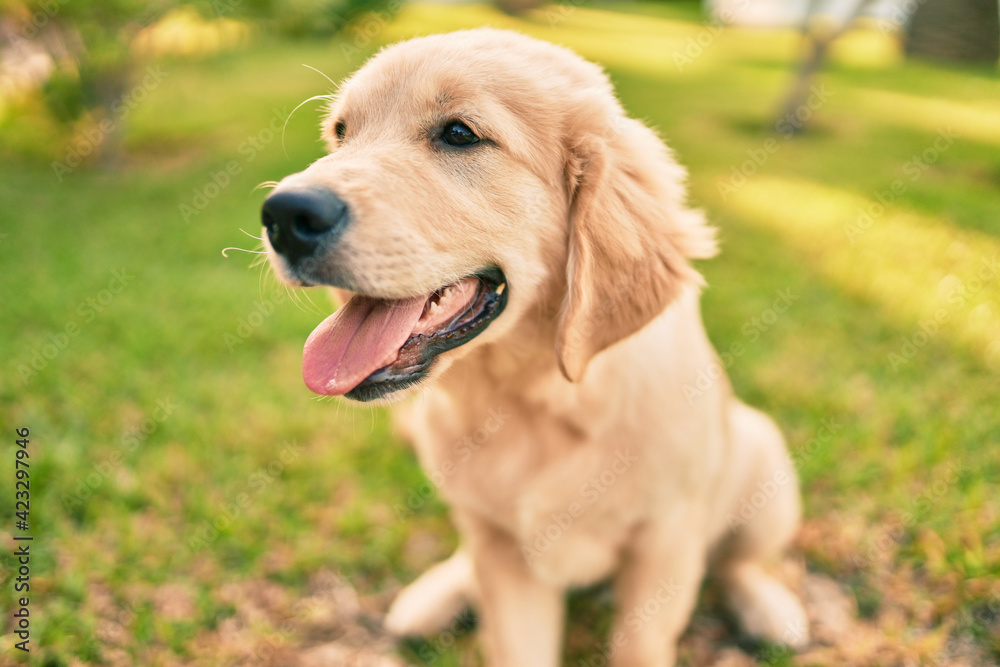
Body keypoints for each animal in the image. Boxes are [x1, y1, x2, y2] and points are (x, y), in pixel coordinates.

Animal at [262, 28, 808, 664]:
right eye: (341, 133)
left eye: (459, 134)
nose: (282, 215)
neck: (536, 399)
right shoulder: (506, 557)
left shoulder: (664, 545)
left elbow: (642, 642)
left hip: (764, 466)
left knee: (738, 561)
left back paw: (769, 608)